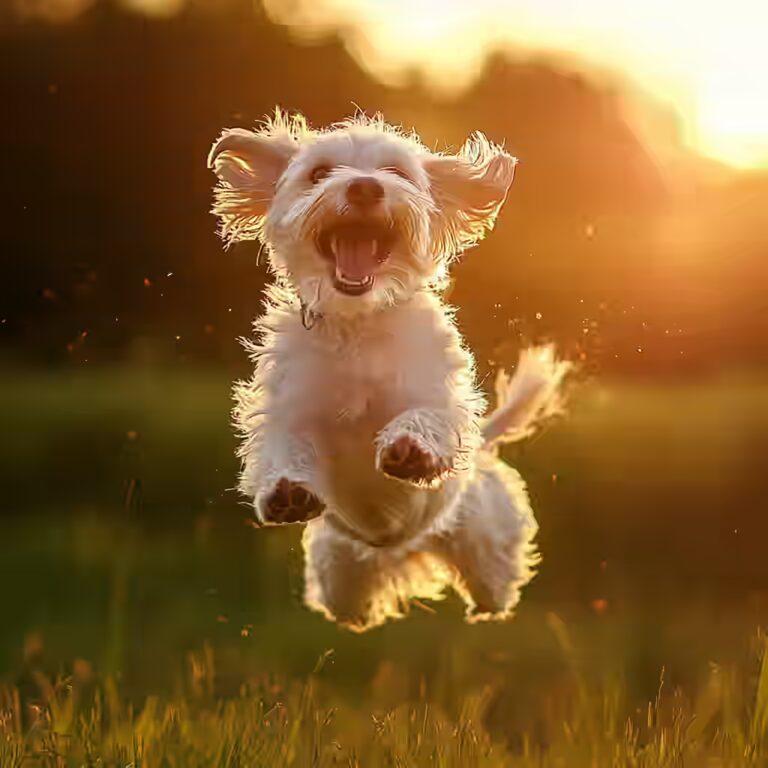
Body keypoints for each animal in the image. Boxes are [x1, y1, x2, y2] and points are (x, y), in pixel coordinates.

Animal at [207, 112, 568, 632]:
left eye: (396, 173)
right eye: (318, 173)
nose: (364, 187)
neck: (358, 322)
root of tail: (399, 543)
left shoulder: (435, 393)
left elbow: (426, 416)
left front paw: (410, 449)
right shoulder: (290, 411)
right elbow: (283, 446)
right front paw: (286, 492)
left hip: (482, 536)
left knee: (494, 579)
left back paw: (487, 603)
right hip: (338, 571)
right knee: (347, 604)